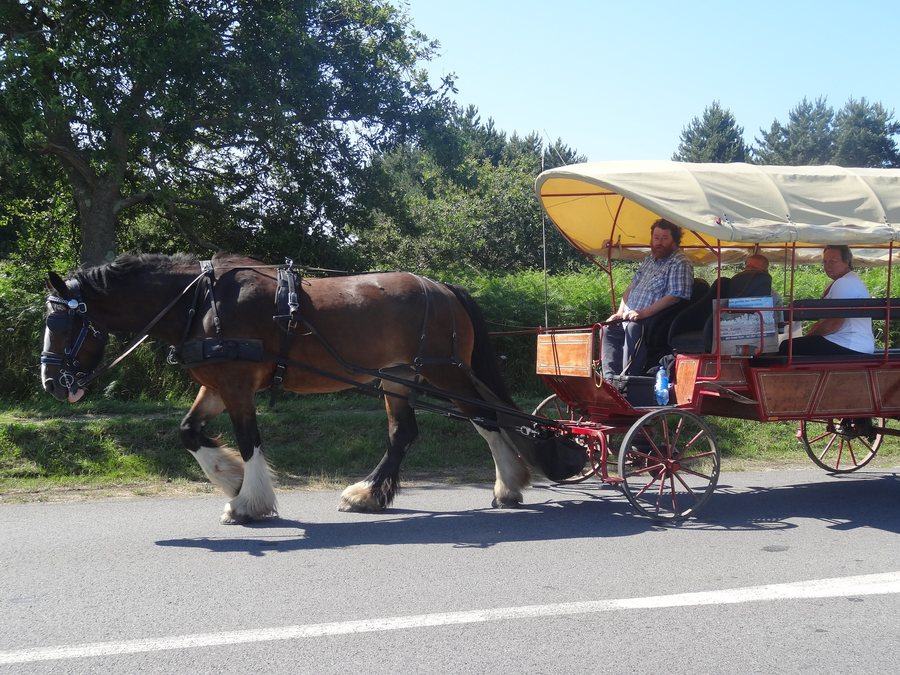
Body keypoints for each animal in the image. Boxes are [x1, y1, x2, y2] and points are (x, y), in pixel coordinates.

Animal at [40, 253, 585, 524]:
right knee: (407, 433)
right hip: (401, 376)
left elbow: (249, 441)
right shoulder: (217, 384)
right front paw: (230, 480)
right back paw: (371, 495)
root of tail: (444, 287)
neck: (202, 302)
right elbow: (189, 432)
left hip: (443, 372)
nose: (52, 383)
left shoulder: (237, 385)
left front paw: (248, 502)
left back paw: (506, 484)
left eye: (63, 323)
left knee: (485, 420)